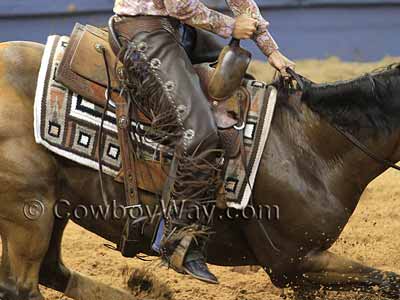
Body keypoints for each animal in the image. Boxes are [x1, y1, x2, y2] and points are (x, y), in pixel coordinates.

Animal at [0, 40, 400, 300]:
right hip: (30, 210)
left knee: (50, 272)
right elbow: (388, 279)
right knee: (22, 287)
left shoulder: (302, 273)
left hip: (56, 206)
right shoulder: (294, 261)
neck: (310, 144)